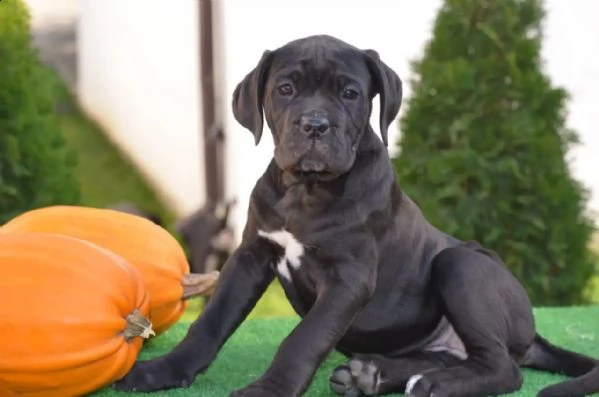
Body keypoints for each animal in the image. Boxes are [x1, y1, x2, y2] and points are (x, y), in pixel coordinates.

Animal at [115, 34, 599, 396]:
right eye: (285, 89)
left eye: (349, 93)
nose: (315, 125)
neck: (307, 191)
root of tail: (530, 331)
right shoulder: (251, 255)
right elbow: (211, 322)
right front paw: (162, 371)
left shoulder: (349, 278)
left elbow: (303, 338)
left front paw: (268, 390)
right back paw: (374, 374)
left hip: (461, 263)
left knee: (503, 367)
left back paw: (434, 384)